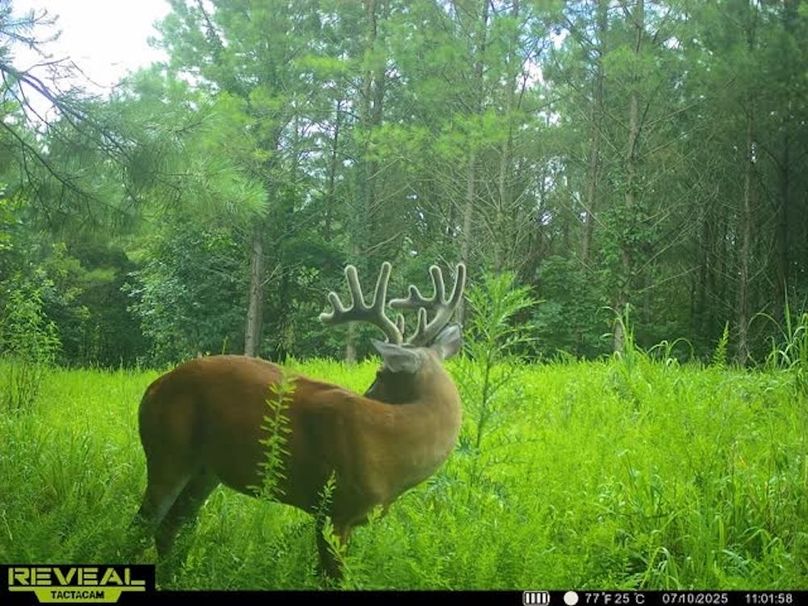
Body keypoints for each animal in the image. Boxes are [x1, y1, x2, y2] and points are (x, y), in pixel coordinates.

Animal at [133, 261, 466, 579]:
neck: (393, 445)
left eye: (381, 374)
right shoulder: (332, 507)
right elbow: (332, 577)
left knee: (168, 528)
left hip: (205, 472)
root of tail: (152, 388)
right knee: (143, 524)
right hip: (168, 452)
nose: (368, 393)